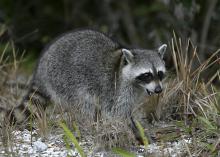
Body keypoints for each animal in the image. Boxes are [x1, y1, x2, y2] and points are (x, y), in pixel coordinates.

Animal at [0, 29, 166, 140]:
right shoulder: (115, 89)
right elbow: (116, 113)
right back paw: (91, 127)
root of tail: (41, 69)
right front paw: (136, 132)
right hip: (65, 79)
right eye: (147, 75)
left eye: (159, 73)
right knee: (85, 103)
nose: (158, 90)